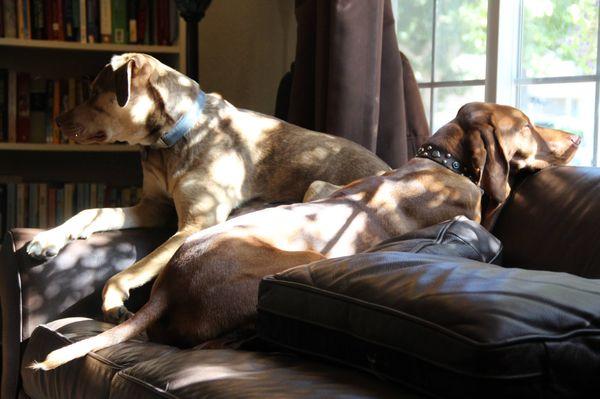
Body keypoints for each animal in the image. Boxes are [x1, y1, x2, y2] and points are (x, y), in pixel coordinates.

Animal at [27, 52, 390, 322]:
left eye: (93, 94)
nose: (56, 121)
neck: (169, 141)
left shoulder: (196, 223)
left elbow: (136, 268)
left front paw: (114, 299)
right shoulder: (154, 207)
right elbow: (94, 212)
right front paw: (48, 239)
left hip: (316, 190)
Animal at [34, 101, 580, 370]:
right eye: (527, 125)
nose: (577, 137)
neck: (438, 162)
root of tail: (168, 288)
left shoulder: (323, 187)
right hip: (292, 264)